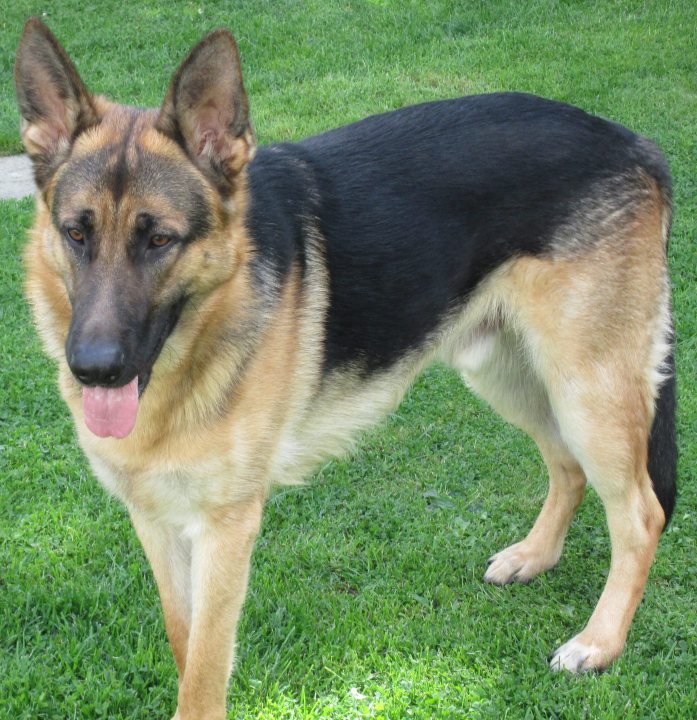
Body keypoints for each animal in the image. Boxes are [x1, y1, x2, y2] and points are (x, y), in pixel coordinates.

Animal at [14, 16, 676, 720]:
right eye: (76, 233)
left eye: (160, 239)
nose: (94, 370)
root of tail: (636, 143)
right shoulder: (155, 519)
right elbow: (182, 640)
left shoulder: (226, 529)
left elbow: (205, 670)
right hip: (509, 375)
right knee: (566, 466)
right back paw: (536, 556)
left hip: (587, 392)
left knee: (640, 514)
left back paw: (600, 642)